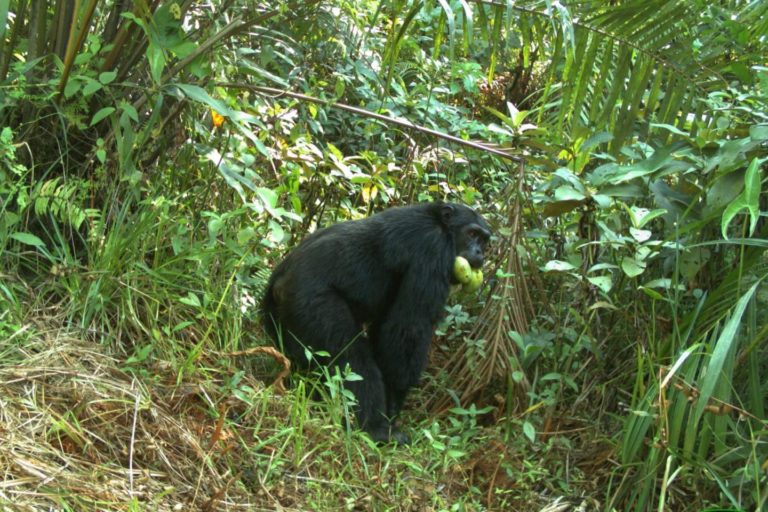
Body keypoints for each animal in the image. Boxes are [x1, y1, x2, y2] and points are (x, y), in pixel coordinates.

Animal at [262, 202, 492, 442]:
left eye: (484, 240)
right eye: (472, 234)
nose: (479, 253)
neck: (443, 227)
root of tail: (278, 282)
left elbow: (386, 328)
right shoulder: (433, 249)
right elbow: (409, 328)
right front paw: (395, 403)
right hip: (311, 303)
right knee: (352, 357)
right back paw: (376, 428)